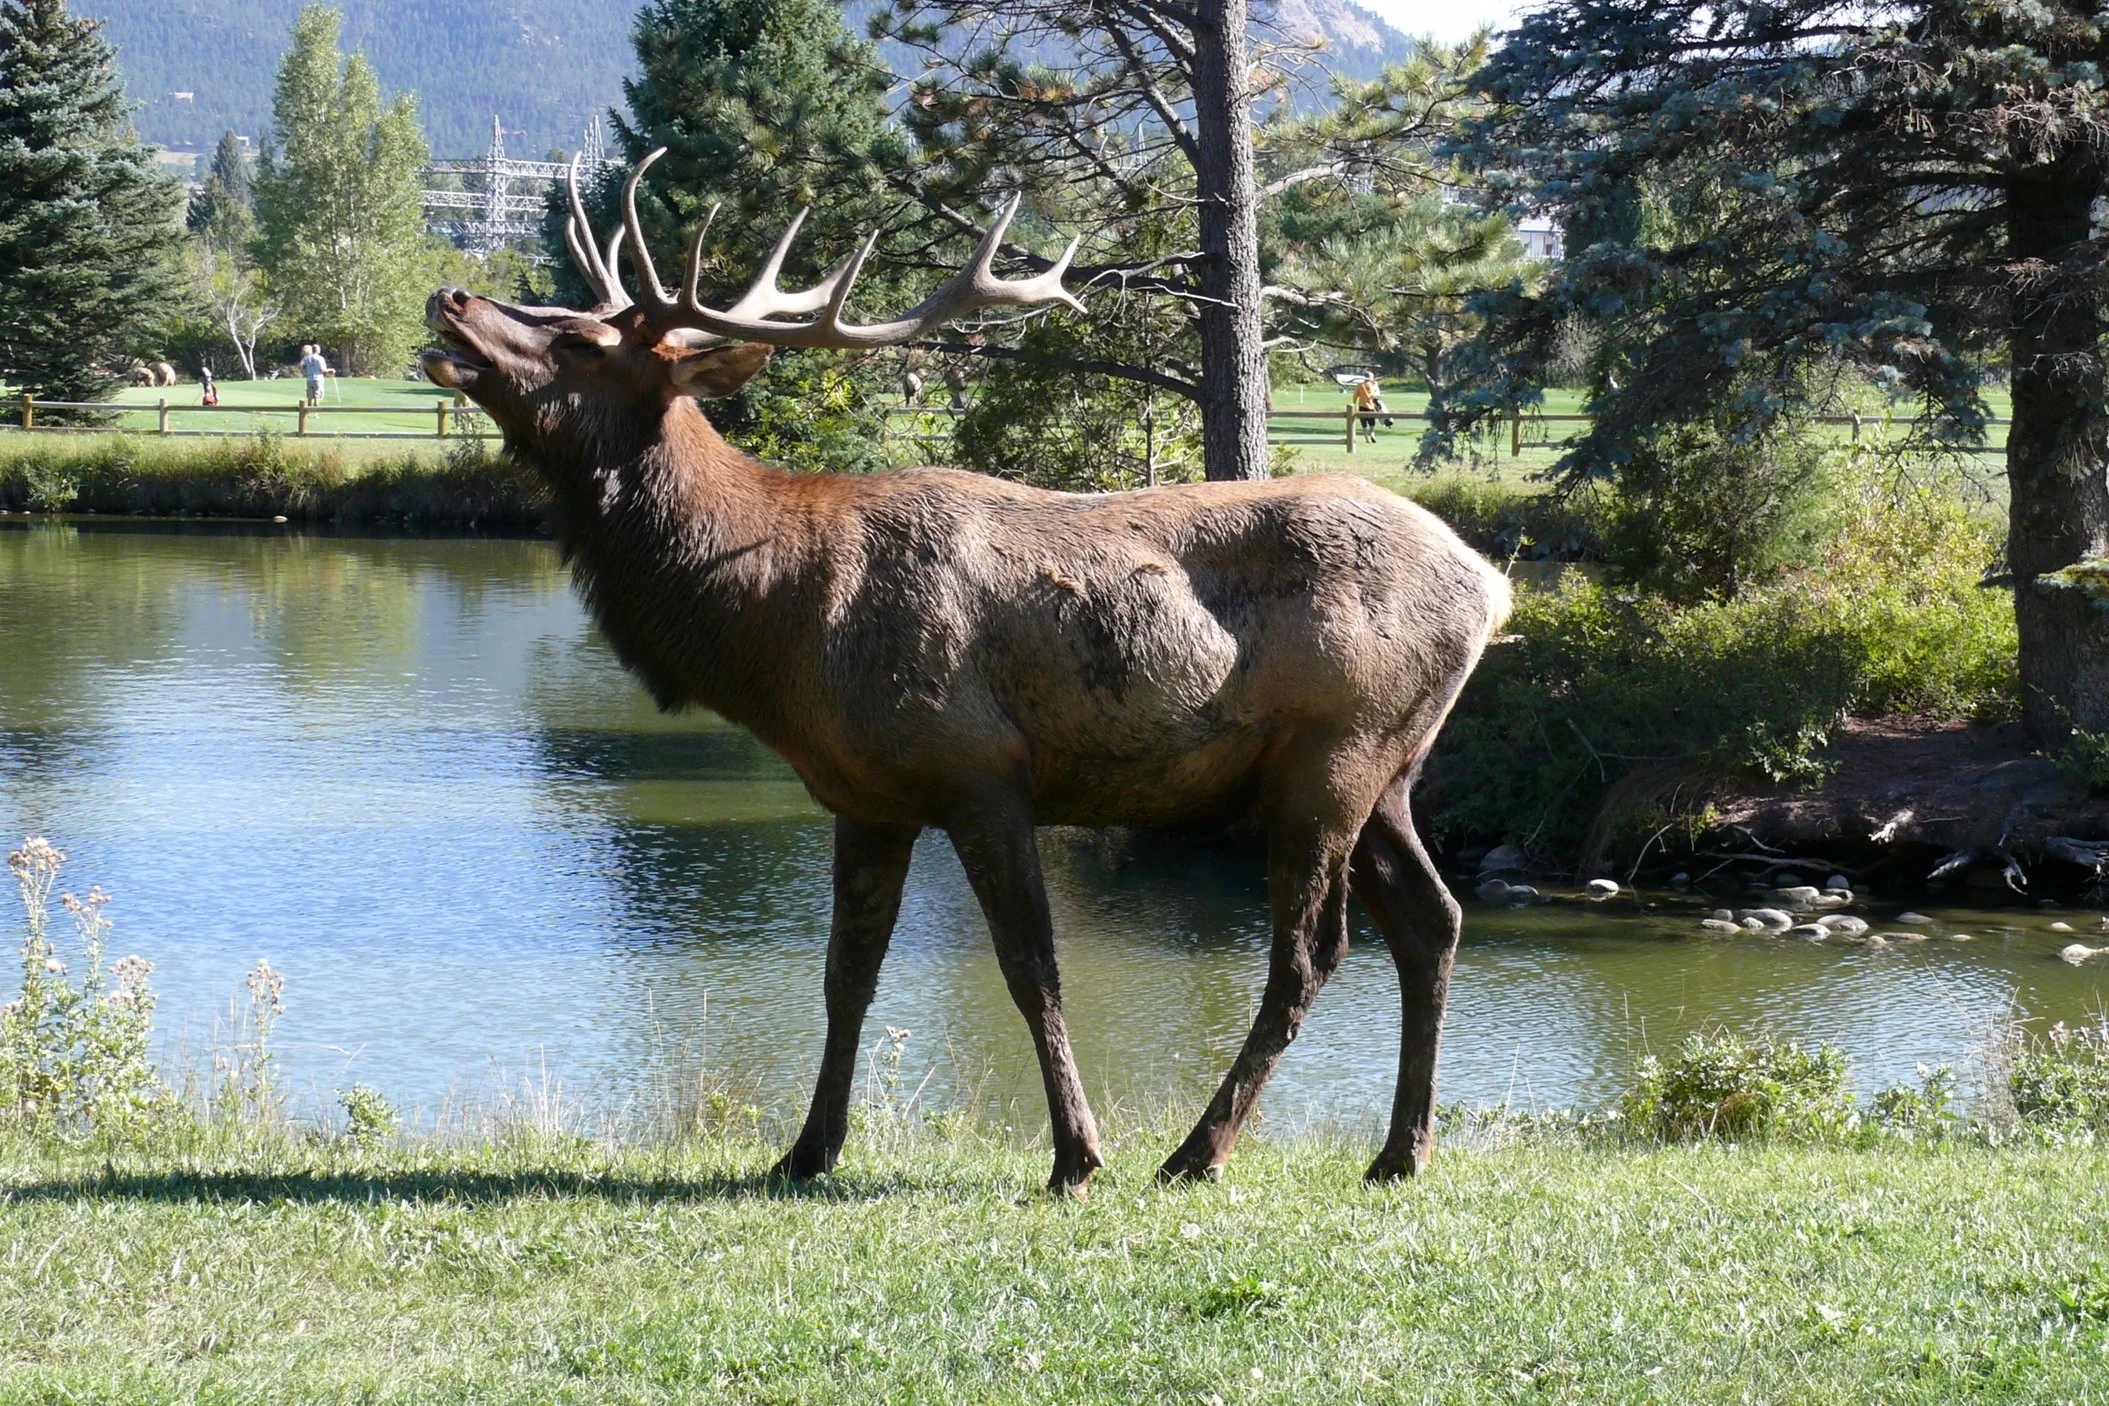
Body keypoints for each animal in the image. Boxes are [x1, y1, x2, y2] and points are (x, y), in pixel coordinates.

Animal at [420, 151, 1511, 1195]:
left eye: (579, 341)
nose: (450, 297)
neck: (775, 616)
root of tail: (1491, 585)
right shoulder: (865, 796)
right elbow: (845, 974)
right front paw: (806, 1150)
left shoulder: (981, 770)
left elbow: (1032, 967)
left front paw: (1076, 1156)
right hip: (1387, 770)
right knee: (1434, 920)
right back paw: (1399, 1151)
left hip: (1334, 753)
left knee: (1310, 951)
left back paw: (1198, 1151)